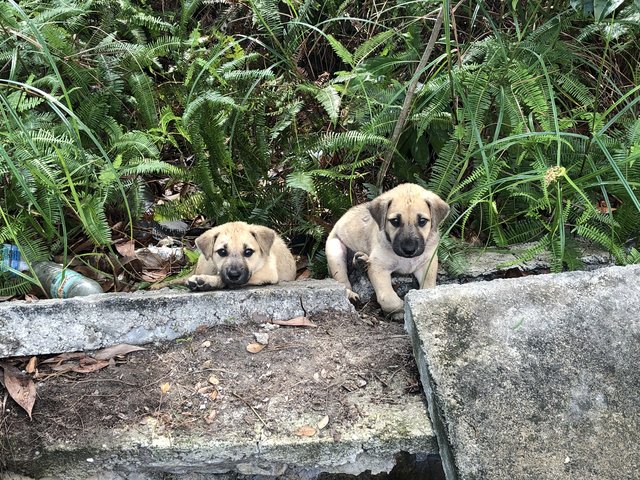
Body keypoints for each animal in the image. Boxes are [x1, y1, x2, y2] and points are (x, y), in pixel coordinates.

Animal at [324, 184, 450, 316]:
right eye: (395, 221)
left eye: (422, 221)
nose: (409, 250)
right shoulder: (378, 267)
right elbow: (388, 299)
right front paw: (400, 309)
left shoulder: (428, 263)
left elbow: (428, 286)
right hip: (335, 250)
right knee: (342, 279)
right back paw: (351, 294)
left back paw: (361, 260)